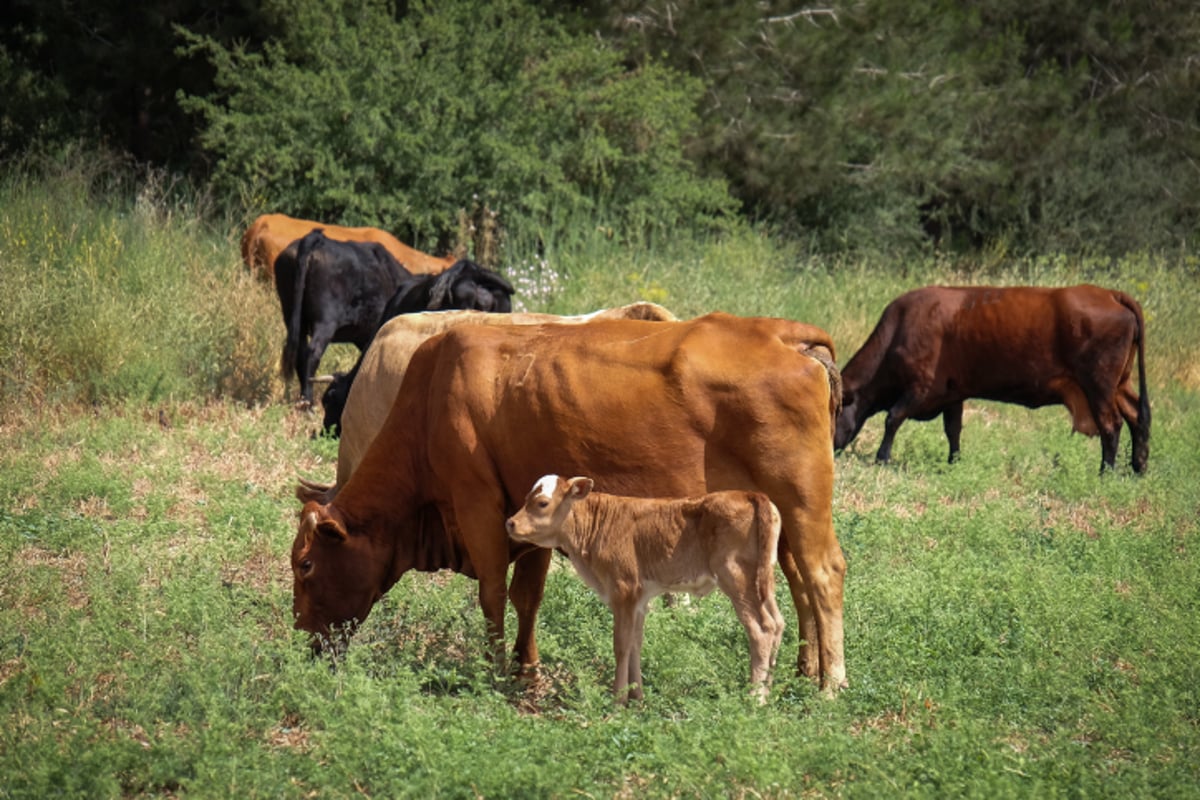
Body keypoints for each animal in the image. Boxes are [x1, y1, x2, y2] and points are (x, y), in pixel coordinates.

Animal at [506, 472, 787, 705]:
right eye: (526, 499)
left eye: (542, 503)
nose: (510, 523)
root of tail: (749, 494)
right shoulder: (639, 599)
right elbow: (635, 644)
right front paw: (637, 697)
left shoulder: (623, 591)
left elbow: (620, 645)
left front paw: (617, 701)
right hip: (764, 580)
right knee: (778, 623)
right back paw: (768, 691)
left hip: (736, 577)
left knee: (761, 629)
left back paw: (755, 698)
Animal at [835, 284, 1152, 472]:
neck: (900, 330)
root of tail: (1109, 293)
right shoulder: (953, 393)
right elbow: (953, 430)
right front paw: (954, 462)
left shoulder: (920, 388)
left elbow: (893, 418)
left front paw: (882, 457)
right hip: (1119, 385)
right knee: (1137, 416)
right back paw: (1138, 467)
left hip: (1099, 386)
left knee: (1111, 425)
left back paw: (1106, 472)